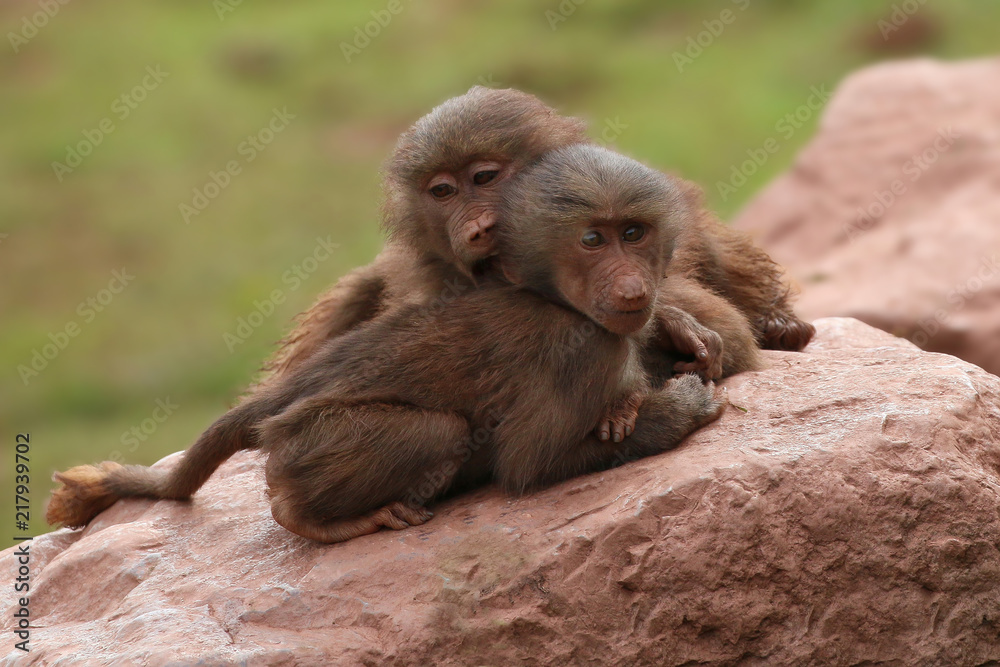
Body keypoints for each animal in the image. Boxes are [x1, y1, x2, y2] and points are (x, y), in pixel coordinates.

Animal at [46, 145, 726, 543]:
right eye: (593, 240)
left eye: (633, 233)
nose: (632, 287)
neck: (552, 297)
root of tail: (282, 402)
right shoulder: (580, 349)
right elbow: (529, 462)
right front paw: (677, 409)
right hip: (308, 440)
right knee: (441, 434)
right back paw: (312, 519)